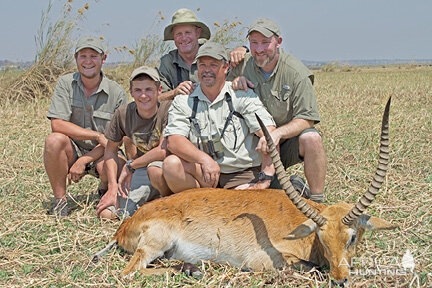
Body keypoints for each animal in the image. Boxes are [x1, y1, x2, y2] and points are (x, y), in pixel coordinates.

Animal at [100, 98, 394, 284]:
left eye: (352, 237)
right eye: (322, 237)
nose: (340, 280)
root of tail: (125, 225)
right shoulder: (264, 259)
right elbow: (312, 269)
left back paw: (192, 268)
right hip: (155, 244)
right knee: (129, 272)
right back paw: (193, 271)